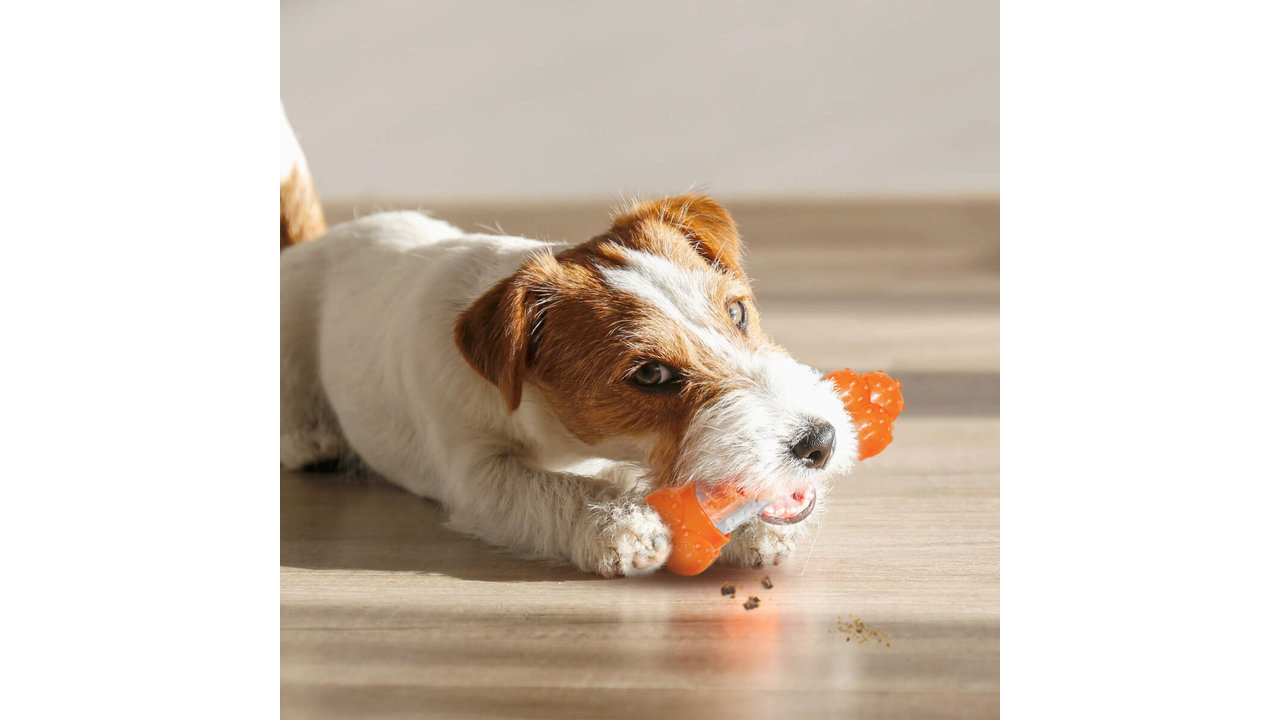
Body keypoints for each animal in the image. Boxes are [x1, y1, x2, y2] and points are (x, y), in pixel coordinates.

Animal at [279, 116, 858, 577]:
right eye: (650, 375)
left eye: (737, 312)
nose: (819, 442)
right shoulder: (477, 472)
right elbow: (552, 491)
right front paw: (620, 526)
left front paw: (755, 525)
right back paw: (313, 440)